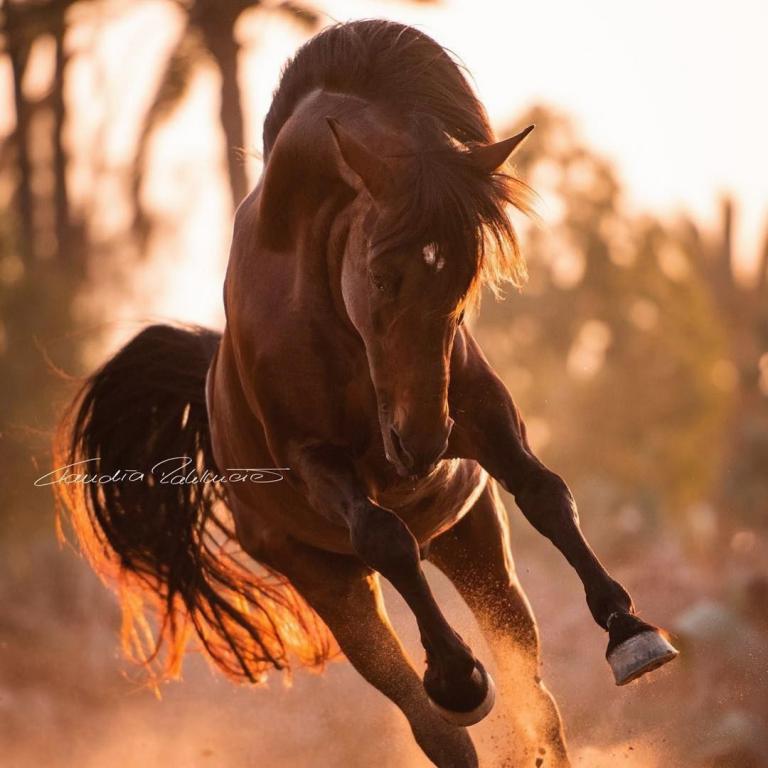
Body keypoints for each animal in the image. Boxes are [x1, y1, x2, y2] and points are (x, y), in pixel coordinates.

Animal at [55, 20, 678, 768]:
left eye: (466, 274)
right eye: (381, 273)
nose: (420, 443)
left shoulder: (480, 416)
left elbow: (546, 493)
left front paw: (629, 630)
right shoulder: (316, 459)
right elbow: (385, 537)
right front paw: (457, 675)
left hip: (469, 535)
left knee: (531, 691)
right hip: (329, 580)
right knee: (428, 714)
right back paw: (452, 685)